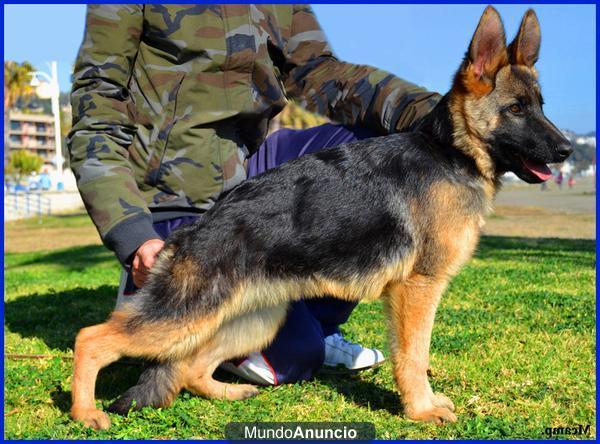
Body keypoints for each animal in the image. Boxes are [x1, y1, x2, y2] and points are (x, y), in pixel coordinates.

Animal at [71, 6, 572, 428]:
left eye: (541, 106)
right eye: (516, 109)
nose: (568, 149)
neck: (451, 153)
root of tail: (192, 232)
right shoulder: (418, 290)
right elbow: (414, 356)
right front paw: (421, 409)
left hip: (250, 319)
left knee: (192, 367)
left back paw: (230, 394)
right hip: (180, 317)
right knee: (91, 338)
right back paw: (85, 413)